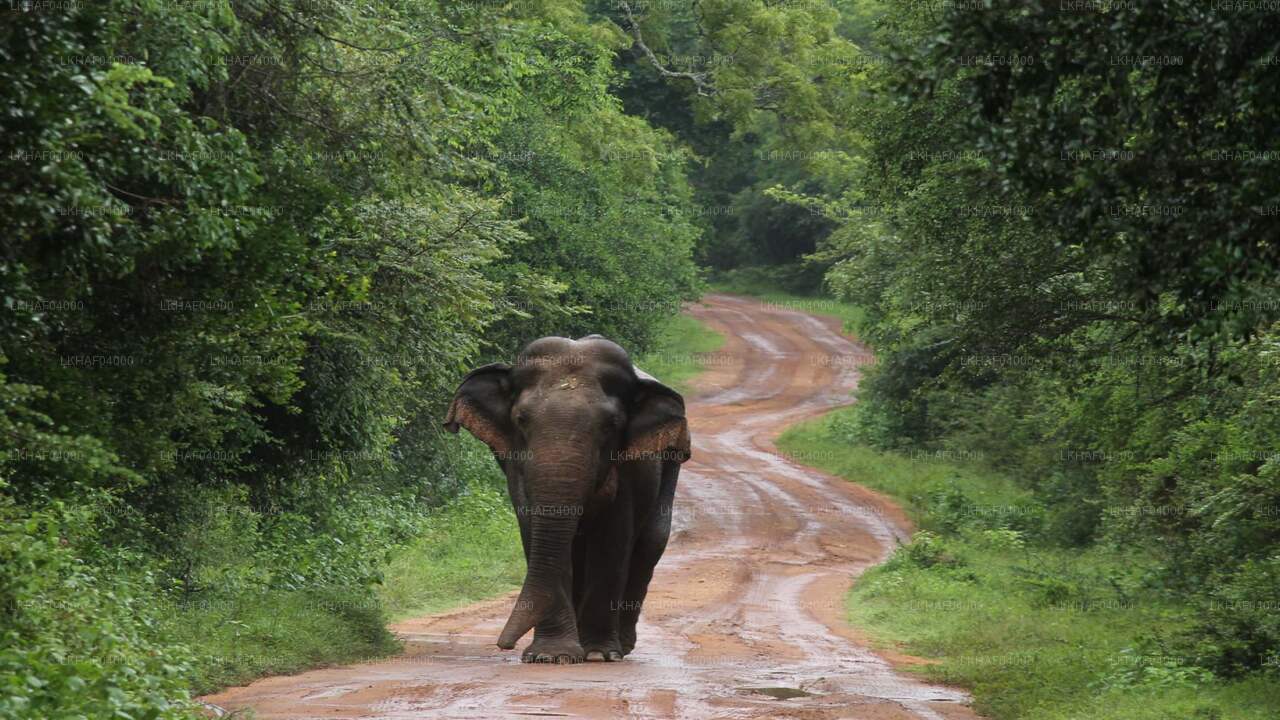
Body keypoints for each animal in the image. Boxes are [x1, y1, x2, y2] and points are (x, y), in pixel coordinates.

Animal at [448, 333, 696, 661]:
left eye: (611, 425)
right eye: (521, 419)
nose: (504, 645)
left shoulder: (630, 467)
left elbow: (612, 539)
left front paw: (598, 654)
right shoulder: (515, 464)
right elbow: (535, 531)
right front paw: (550, 656)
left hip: (671, 461)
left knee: (650, 541)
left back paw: (621, 646)